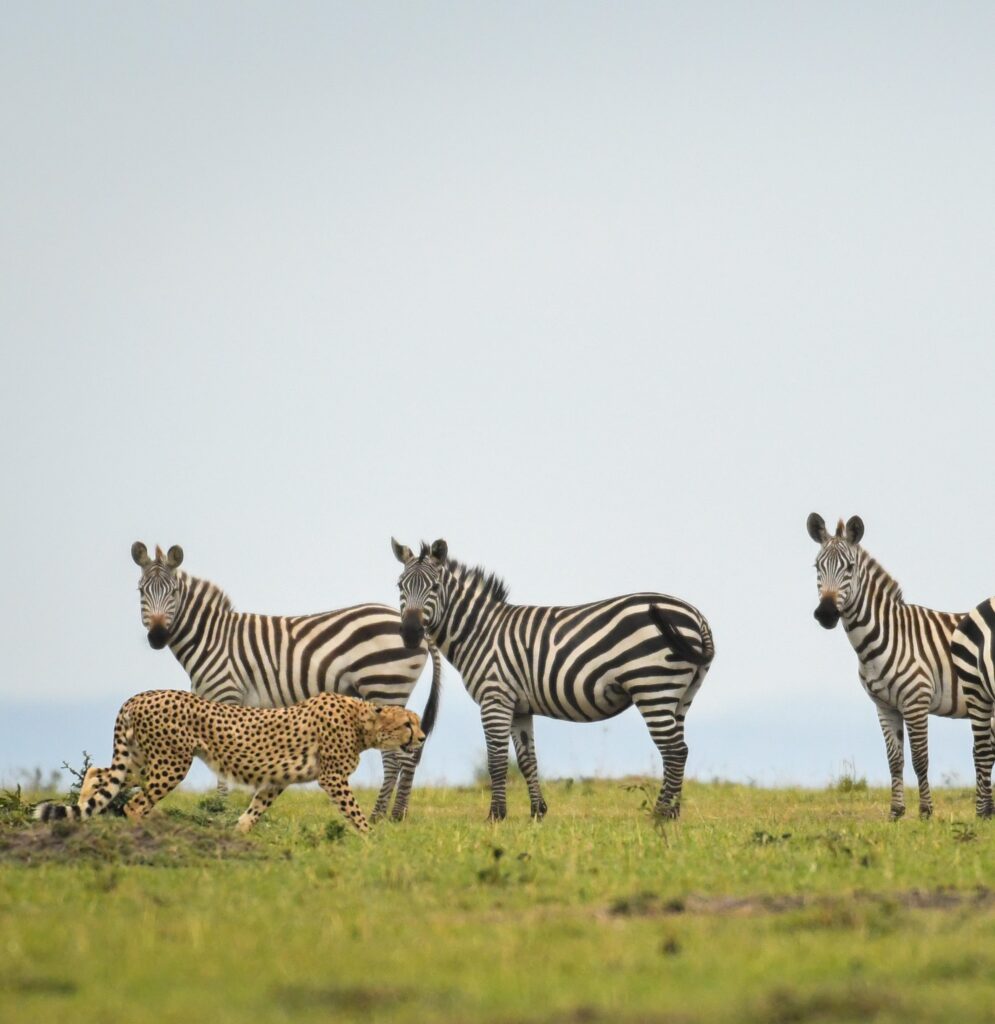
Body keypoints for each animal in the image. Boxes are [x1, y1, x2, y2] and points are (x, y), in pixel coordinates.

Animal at [34, 688, 423, 831]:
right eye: (408, 723)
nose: (421, 738)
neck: (361, 722)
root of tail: (138, 696)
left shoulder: (276, 779)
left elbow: (253, 810)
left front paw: (240, 833)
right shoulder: (332, 778)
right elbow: (355, 813)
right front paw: (372, 840)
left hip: (137, 760)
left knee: (98, 774)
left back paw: (82, 819)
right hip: (170, 763)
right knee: (134, 803)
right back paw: (146, 830)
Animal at [131, 540, 440, 819]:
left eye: (173, 592)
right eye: (141, 591)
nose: (157, 637)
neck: (211, 638)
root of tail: (415, 626)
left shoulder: (227, 694)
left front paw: (219, 808)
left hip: (385, 685)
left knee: (397, 756)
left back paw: (380, 816)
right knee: (410, 752)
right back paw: (397, 815)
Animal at [391, 540, 716, 819]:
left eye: (434, 587)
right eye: (400, 586)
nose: (410, 634)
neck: (479, 631)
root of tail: (696, 615)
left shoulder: (495, 698)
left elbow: (496, 761)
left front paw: (496, 816)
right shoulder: (519, 707)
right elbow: (526, 761)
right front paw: (537, 812)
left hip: (653, 687)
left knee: (673, 751)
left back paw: (660, 814)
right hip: (681, 696)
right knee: (680, 751)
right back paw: (672, 813)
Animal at [802, 516, 966, 819]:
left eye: (850, 567)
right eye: (817, 566)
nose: (826, 614)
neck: (886, 635)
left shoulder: (915, 701)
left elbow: (920, 759)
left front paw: (925, 813)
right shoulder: (884, 706)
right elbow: (894, 760)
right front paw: (896, 813)